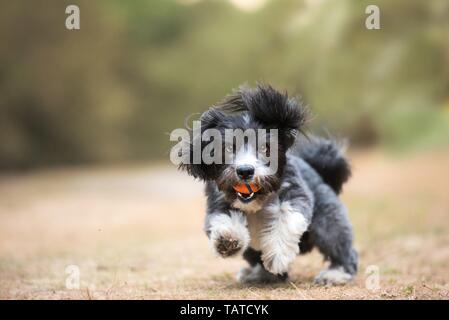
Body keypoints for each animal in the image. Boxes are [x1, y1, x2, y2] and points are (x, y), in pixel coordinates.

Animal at [177, 84, 356, 284]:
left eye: (265, 147)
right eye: (228, 147)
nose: (245, 171)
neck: (257, 202)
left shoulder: (295, 194)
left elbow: (286, 217)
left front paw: (278, 256)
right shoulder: (217, 202)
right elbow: (222, 218)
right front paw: (227, 240)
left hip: (328, 222)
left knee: (341, 247)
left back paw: (336, 273)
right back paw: (260, 274)